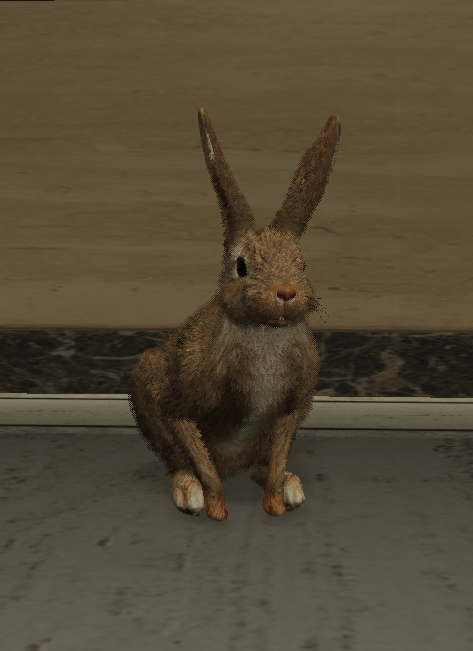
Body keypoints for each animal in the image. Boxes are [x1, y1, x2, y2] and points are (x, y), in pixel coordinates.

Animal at [128, 107, 341, 521]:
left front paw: (275, 506)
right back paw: (188, 492)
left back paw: (291, 487)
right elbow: (202, 463)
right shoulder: (180, 407)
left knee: (263, 464)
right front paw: (215, 511)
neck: (264, 332)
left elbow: (277, 456)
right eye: (241, 266)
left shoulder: (291, 409)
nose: (286, 292)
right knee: (179, 462)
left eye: (302, 263)